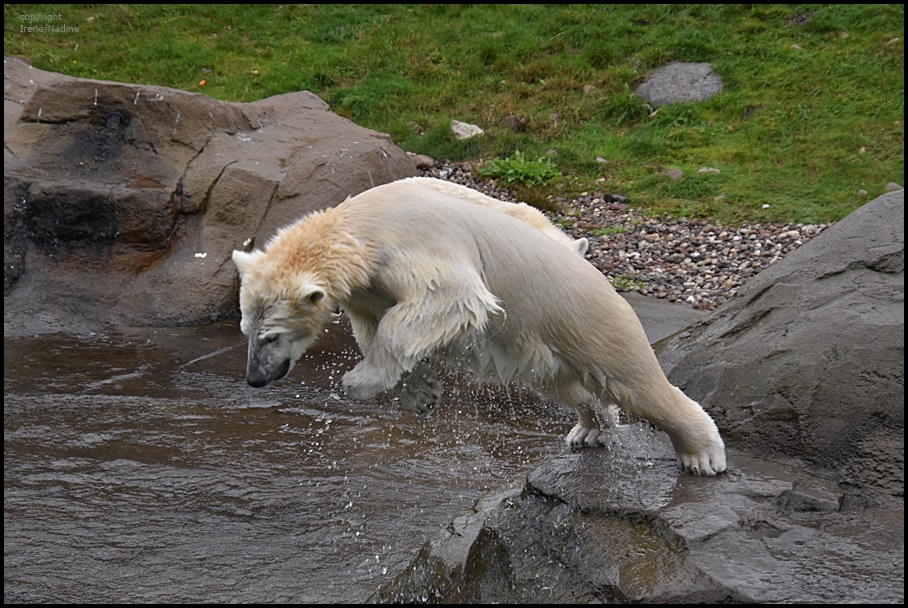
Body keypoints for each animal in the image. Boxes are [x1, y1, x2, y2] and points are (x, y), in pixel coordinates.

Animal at [236, 177, 732, 476]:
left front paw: (356, 383)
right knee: (566, 384)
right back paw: (590, 427)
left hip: (589, 316)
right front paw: (423, 392)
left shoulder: (413, 244)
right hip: (545, 345)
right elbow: (378, 328)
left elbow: (447, 297)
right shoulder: (366, 289)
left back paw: (701, 453)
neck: (357, 228)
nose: (255, 378)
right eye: (246, 330)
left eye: (271, 335)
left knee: (635, 381)